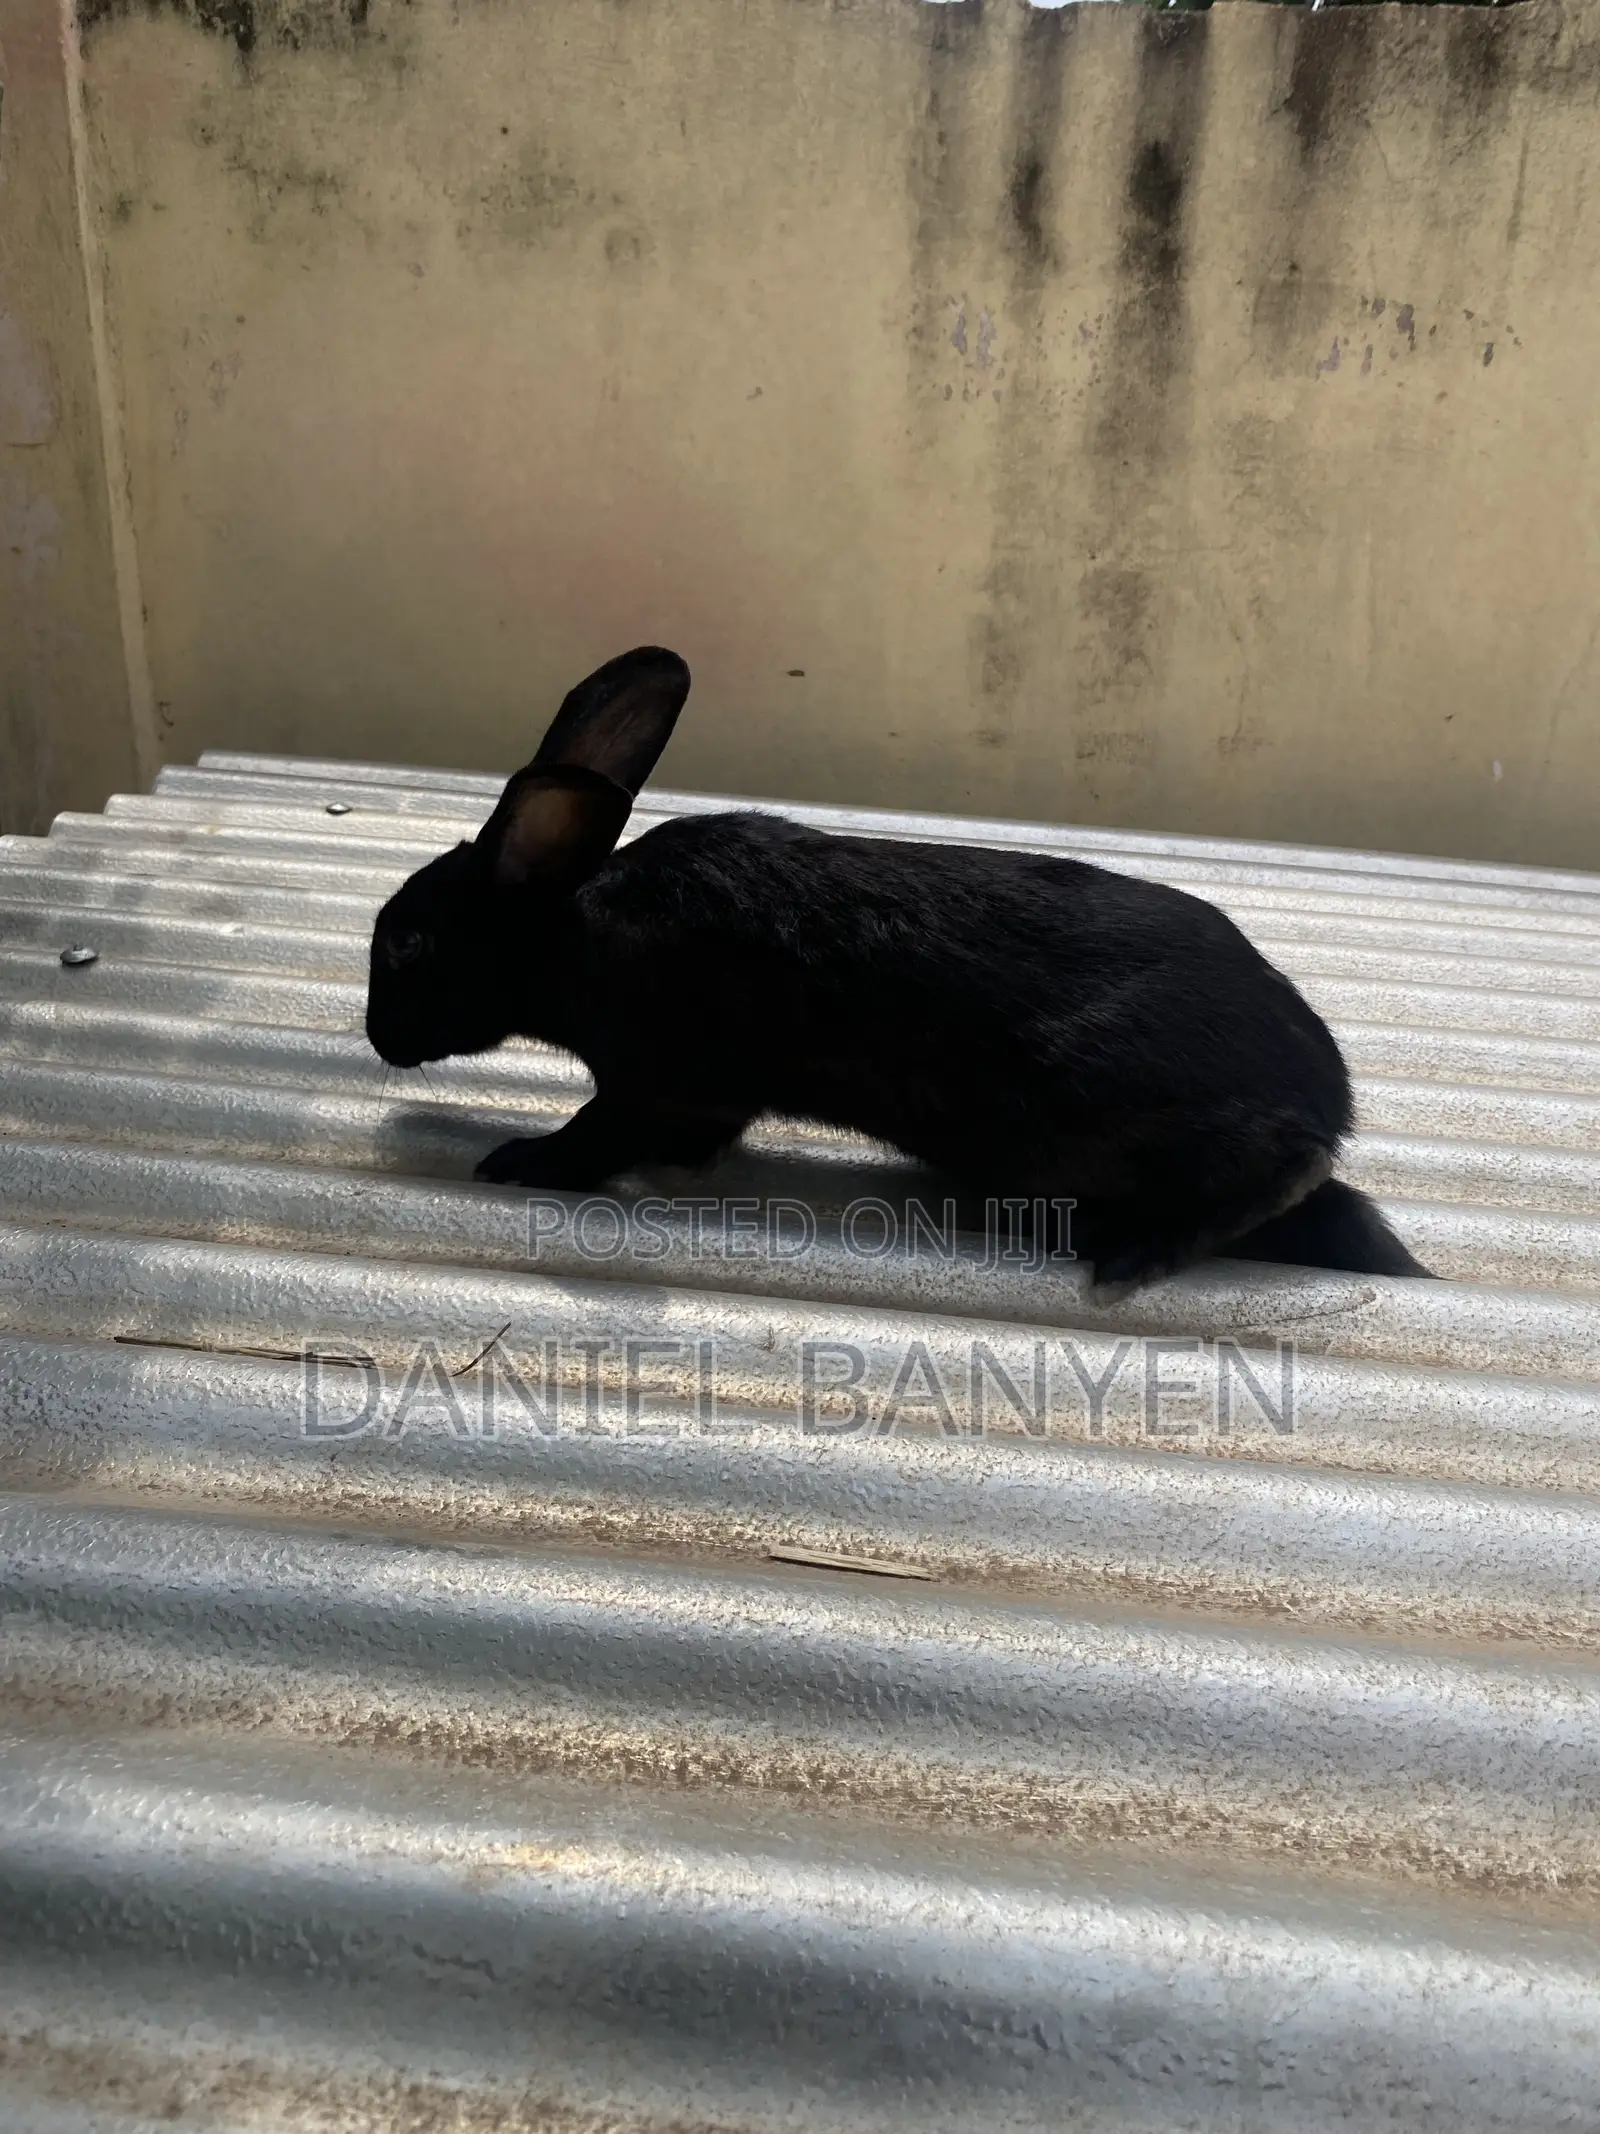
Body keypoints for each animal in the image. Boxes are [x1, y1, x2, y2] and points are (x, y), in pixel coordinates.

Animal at [365, 646, 1430, 1295]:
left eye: (409, 944)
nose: (377, 1038)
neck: (574, 923)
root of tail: (1327, 1098)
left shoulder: (652, 1078)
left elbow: (596, 1135)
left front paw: (517, 1160)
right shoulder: (704, 1096)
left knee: (1280, 1171)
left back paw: (1131, 1254)